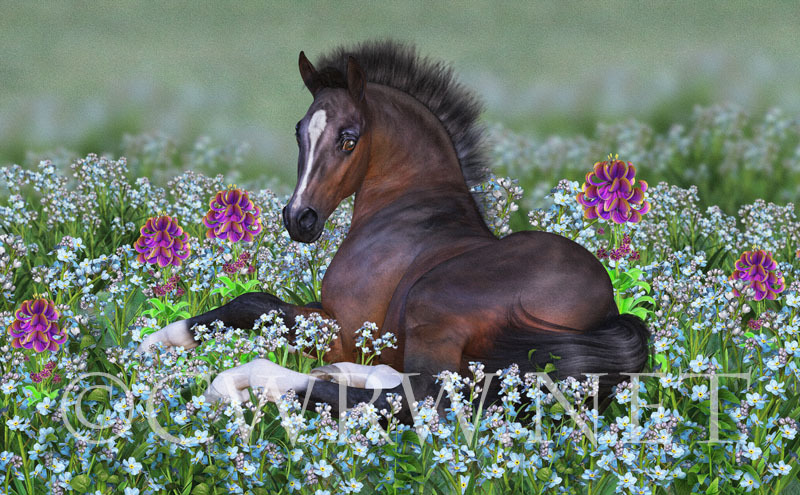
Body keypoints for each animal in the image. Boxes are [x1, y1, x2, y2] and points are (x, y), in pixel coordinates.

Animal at [138, 41, 650, 422]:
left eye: (349, 138)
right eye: (299, 131)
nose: (299, 218)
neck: (407, 210)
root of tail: (606, 312)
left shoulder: (345, 327)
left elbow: (258, 306)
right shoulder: (334, 321)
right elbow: (254, 303)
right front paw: (155, 342)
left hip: (432, 305)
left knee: (416, 399)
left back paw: (246, 380)